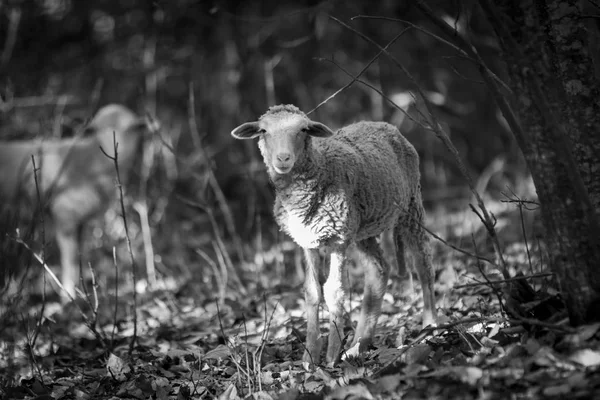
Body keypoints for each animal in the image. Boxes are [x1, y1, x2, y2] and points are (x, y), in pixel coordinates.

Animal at [0, 104, 149, 302]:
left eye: (130, 129)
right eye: (98, 131)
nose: (114, 151)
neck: (91, 161)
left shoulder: (81, 222)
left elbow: (80, 254)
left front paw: (82, 291)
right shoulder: (65, 215)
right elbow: (69, 259)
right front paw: (68, 296)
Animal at [231, 104, 436, 368]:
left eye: (303, 129)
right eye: (264, 130)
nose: (283, 158)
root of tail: (383, 124)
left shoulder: (339, 239)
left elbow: (333, 291)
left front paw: (330, 356)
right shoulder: (307, 240)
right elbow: (311, 292)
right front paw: (310, 356)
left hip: (410, 204)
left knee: (423, 262)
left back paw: (430, 324)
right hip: (362, 228)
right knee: (378, 270)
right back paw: (358, 344)